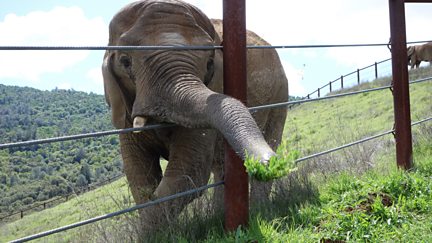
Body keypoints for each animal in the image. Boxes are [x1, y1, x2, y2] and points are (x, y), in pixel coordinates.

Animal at [102, 0, 288, 231]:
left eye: (209, 63)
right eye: (125, 61)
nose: (270, 162)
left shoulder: (216, 84)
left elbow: (187, 172)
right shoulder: (123, 109)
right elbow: (138, 174)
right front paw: (153, 232)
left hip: (280, 94)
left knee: (270, 138)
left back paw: (259, 209)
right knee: (221, 167)